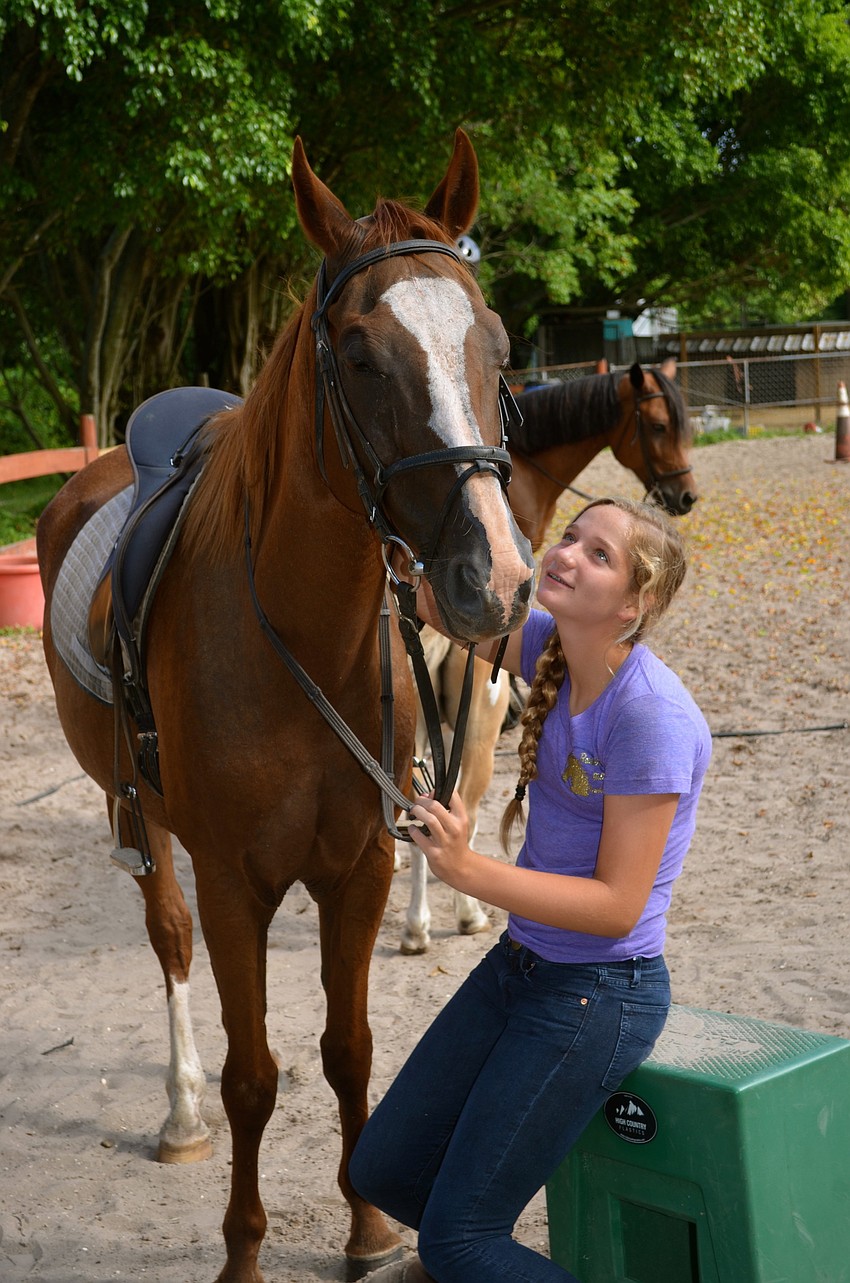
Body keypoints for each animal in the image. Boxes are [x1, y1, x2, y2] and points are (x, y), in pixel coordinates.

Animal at [36, 130, 534, 1283]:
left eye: (494, 343)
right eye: (359, 356)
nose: (492, 577)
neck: (299, 637)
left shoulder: (362, 867)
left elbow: (349, 1050)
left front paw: (367, 1227)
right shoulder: (235, 882)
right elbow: (252, 1072)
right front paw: (243, 1250)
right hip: (140, 815)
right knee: (170, 945)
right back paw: (179, 1113)